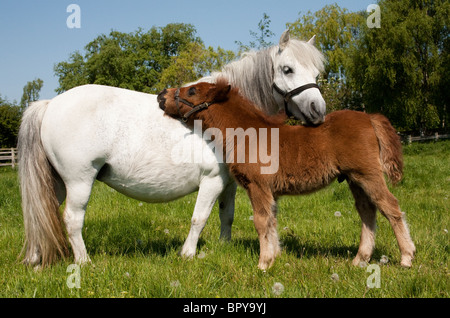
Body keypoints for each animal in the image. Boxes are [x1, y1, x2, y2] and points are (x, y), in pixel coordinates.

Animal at [18, 30, 326, 266]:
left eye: (316, 72)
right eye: (287, 69)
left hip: (56, 182)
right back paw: (84, 261)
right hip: (79, 180)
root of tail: (49, 104)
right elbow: (199, 218)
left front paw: (223, 247)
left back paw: (35, 259)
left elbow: (226, 215)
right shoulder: (212, 181)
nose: (318, 110)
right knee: (72, 219)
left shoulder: (228, 184)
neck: (224, 117)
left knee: (40, 213)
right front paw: (188, 254)